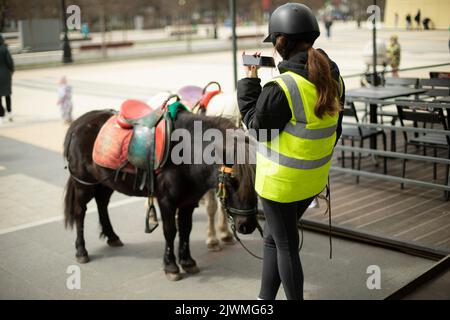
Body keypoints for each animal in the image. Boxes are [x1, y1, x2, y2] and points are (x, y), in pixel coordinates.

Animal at [65, 109, 258, 282]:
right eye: (232, 180)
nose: (247, 225)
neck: (186, 155)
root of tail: (76, 125)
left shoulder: (189, 201)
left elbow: (186, 229)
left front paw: (187, 262)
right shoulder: (167, 201)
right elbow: (170, 231)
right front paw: (171, 266)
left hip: (105, 182)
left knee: (102, 203)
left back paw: (112, 236)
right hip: (83, 184)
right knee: (80, 212)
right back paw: (81, 250)